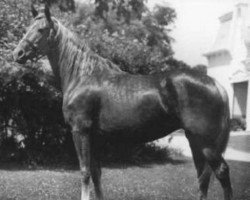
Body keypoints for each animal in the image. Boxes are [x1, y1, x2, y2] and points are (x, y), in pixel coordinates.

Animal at [13, 4, 232, 200]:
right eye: (28, 27)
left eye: (41, 29)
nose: (17, 54)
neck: (83, 75)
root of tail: (216, 85)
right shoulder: (94, 136)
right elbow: (96, 173)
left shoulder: (80, 131)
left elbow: (84, 171)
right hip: (194, 140)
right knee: (202, 177)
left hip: (206, 143)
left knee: (221, 172)